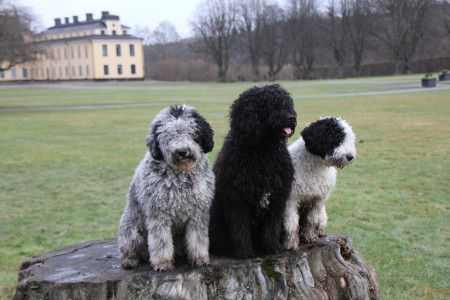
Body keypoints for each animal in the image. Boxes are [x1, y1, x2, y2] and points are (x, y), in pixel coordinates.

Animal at [118, 105, 215, 272]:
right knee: (129, 249)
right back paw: (129, 260)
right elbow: (161, 241)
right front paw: (162, 263)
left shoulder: (198, 213)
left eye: (192, 132)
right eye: (168, 136)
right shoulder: (159, 214)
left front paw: (199, 259)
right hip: (133, 231)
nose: (182, 151)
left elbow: (197, 239)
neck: (181, 177)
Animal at [210, 84, 298, 258]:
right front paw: (244, 251)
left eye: (287, 104)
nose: (291, 117)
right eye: (271, 105)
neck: (262, 153)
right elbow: (240, 228)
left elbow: (271, 226)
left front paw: (272, 247)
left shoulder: (277, 198)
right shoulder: (236, 199)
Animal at [284, 117, 356, 251]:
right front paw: (291, 243)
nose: (350, 156)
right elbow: (292, 224)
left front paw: (310, 237)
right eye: (335, 137)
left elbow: (312, 220)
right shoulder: (291, 200)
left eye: (349, 139)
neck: (315, 168)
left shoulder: (318, 199)